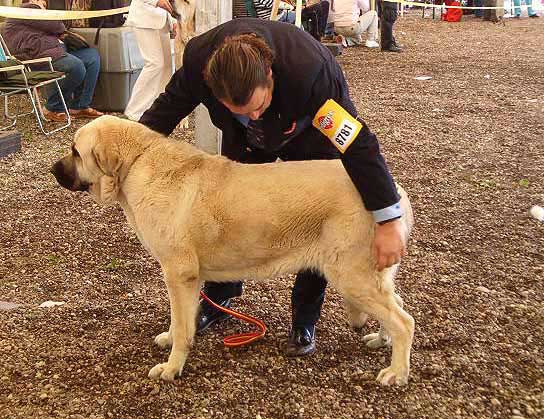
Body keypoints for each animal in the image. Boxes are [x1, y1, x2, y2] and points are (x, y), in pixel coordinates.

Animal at [52, 115, 416, 388]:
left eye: (75, 151)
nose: (53, 170)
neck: (138, 162)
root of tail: (395, 192)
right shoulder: (185, 279)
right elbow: (180, 320)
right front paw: (171, 340)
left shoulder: (178, 274)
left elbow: (183, 326)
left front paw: (171, 367)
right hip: (368, 276)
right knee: (397, 304)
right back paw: (381, 340)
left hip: (351, 275)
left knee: (404, 320)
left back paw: (396, 372)